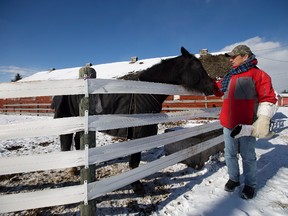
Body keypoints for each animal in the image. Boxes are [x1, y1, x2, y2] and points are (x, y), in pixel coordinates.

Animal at [52, 46, 214, 192]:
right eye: (198, 67)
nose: (212, 87)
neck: (145, 92)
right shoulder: (138, 135)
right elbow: (135, 162)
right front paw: (137, 185)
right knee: (67, 140)